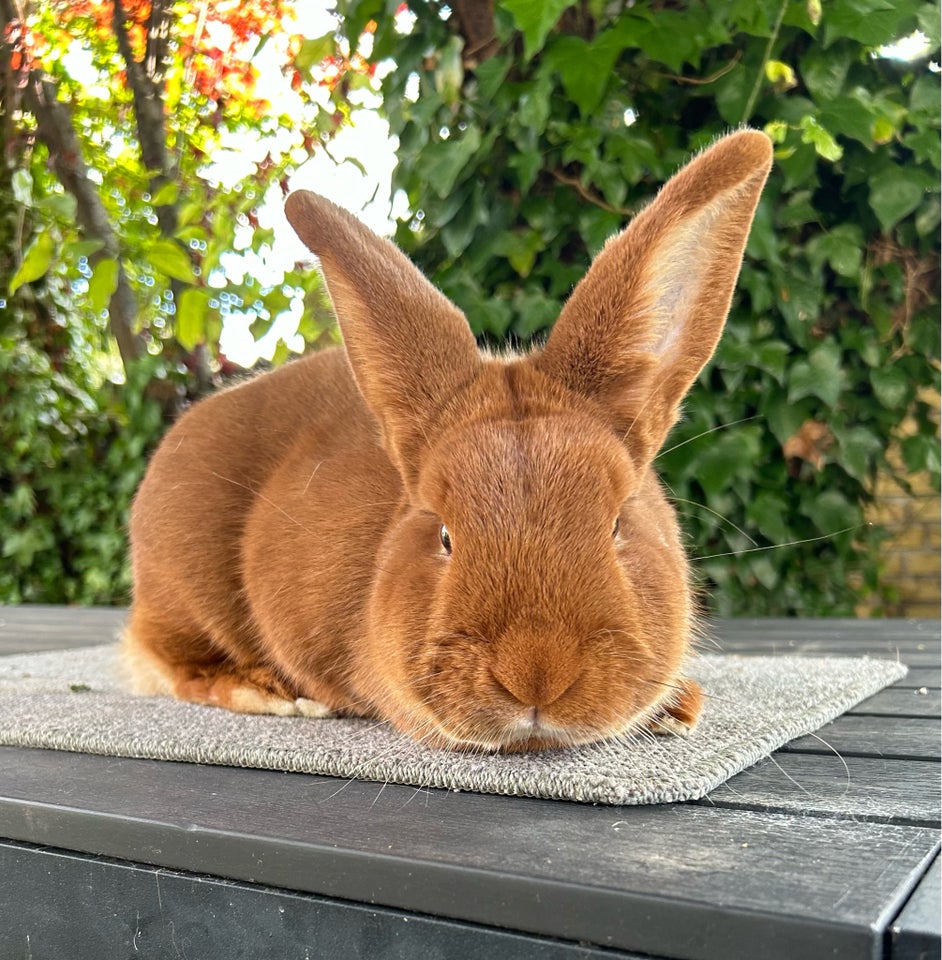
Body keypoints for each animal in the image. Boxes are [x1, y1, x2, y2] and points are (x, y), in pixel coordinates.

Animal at [123, 131, 776, 752]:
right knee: (180, 665)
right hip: (186, 593)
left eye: (617, 525)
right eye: (443, 536)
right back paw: (270, 692)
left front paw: (678, 708)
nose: (537, 674)